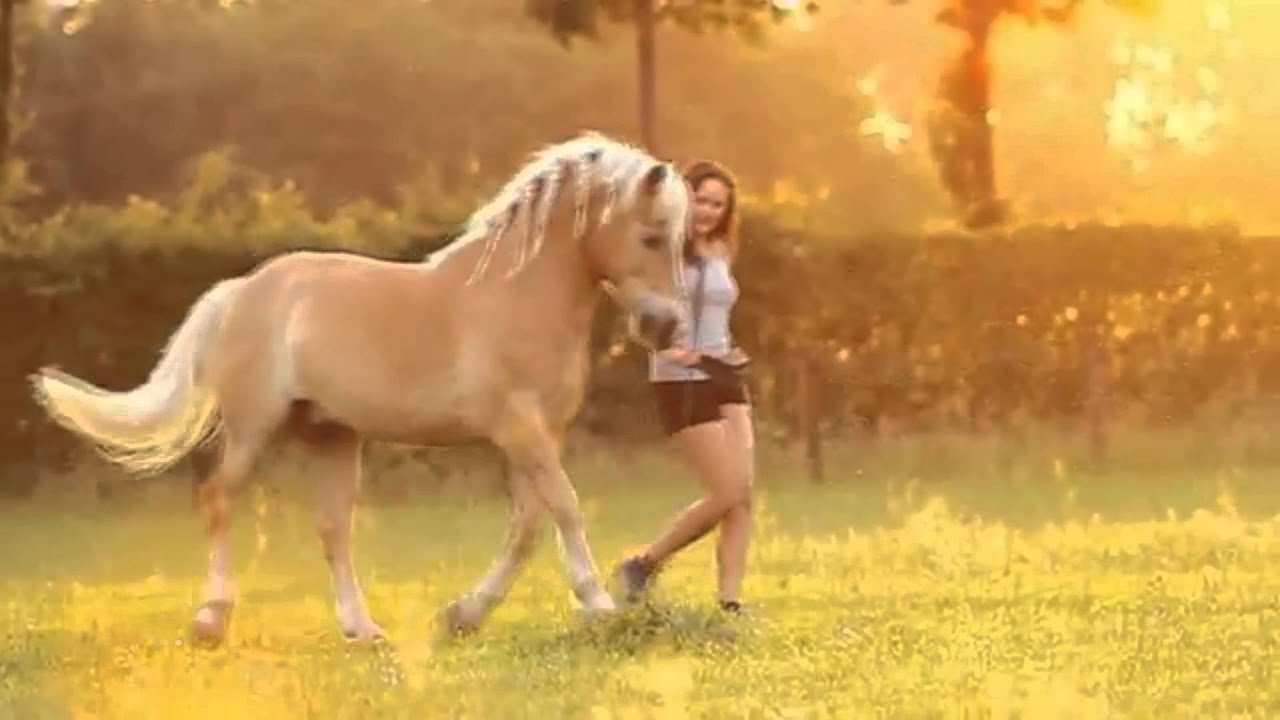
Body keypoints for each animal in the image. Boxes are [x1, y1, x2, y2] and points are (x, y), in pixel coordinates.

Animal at [28, 131, 692, 644]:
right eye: (652, 235)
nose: (666, 327)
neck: (513, 292)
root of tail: (242, 290)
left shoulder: (539, 433)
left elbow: (527, 526)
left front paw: (463, 615)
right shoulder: (518, 428)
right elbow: (565, 508)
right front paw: (599, 606)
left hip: (333, 435)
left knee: (333, 529)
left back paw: (362, 628)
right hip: (252, 425)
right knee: (219, 499)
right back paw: (211, 621)